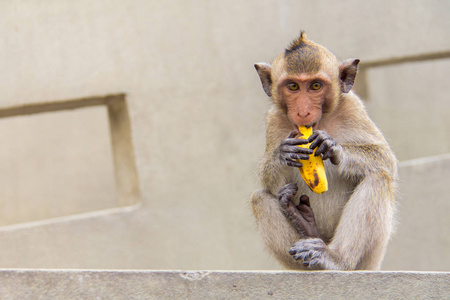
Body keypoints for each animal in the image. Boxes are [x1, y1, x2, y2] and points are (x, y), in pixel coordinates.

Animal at [250, 31, 398, 270]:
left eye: (316, 86)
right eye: (293, 86)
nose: (303, 112)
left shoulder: (353, 108)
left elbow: (385, 159)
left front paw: (333, 147)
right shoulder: (275, 120)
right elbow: (269, 185)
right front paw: (283, 154)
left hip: (369, 261)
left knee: (379, 177)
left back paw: (334, 258)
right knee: (259, 198)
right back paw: (304, 225)